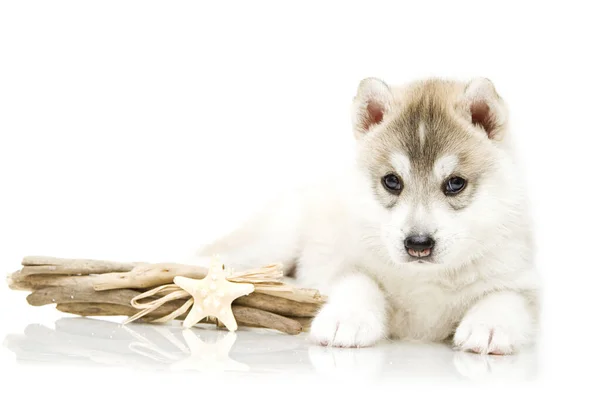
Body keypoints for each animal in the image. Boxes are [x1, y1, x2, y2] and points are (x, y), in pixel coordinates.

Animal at [196, 77, 540, 354]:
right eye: (392, 181)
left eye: (455, 183)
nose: (418, 244)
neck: (425, 278)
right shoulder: (341, 261)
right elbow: (359, 282)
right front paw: (346, 319)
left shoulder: (524, 280)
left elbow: (505, 296)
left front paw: (490, 326)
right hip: (273, 242)